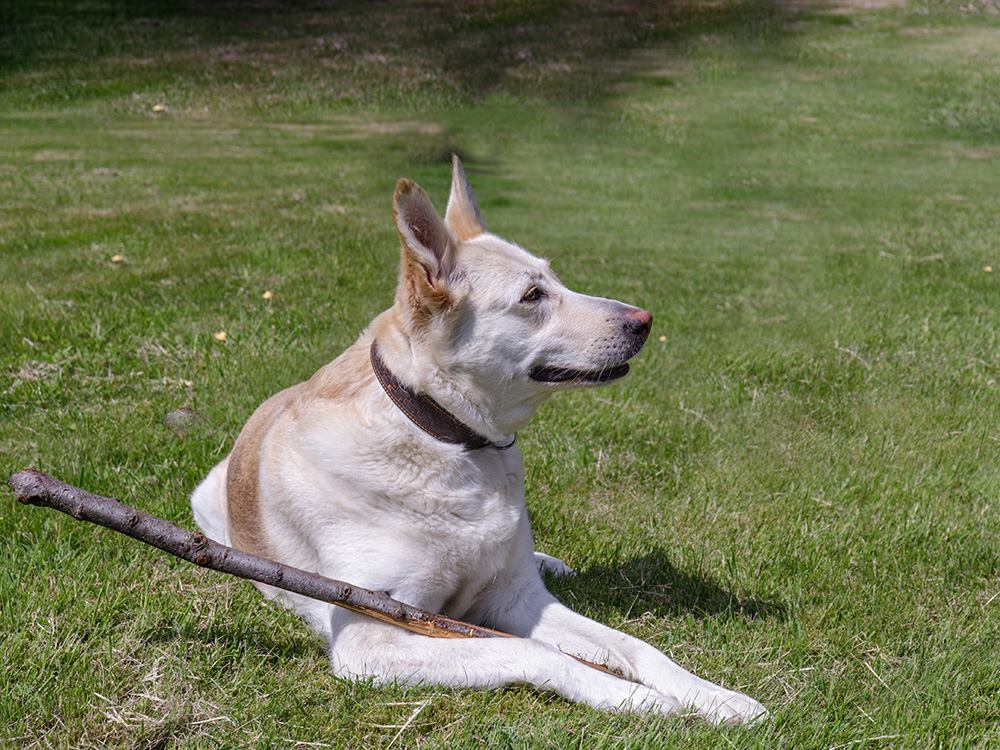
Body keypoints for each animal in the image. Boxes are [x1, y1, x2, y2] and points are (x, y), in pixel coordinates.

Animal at [189, 159, 764, 728]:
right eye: (533, 297)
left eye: (556, 279)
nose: (644, 322)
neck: (450, 438)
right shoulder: (373, 636)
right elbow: (535, 651)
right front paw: (637, 700)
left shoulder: (516, 598)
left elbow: (636, 645)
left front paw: (714, 696)